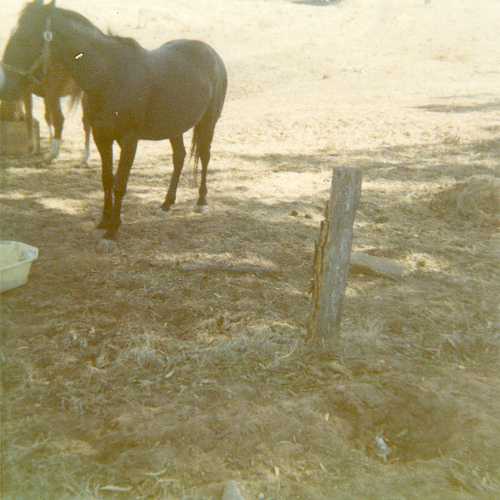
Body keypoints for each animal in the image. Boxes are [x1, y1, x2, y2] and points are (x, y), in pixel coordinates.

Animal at [0, 0, 227, 251]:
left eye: (26, 36)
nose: (5, 87)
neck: (110, 76)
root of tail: (211, 53)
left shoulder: (129, 140)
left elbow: (120, 183)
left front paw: (112, 232)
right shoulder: (102, 137)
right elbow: (107, 179)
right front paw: (102, 224)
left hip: (209, 122)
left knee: (204, 156)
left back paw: (201, 201)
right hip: (174, 126)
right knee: (179, 157)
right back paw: (166, 205)